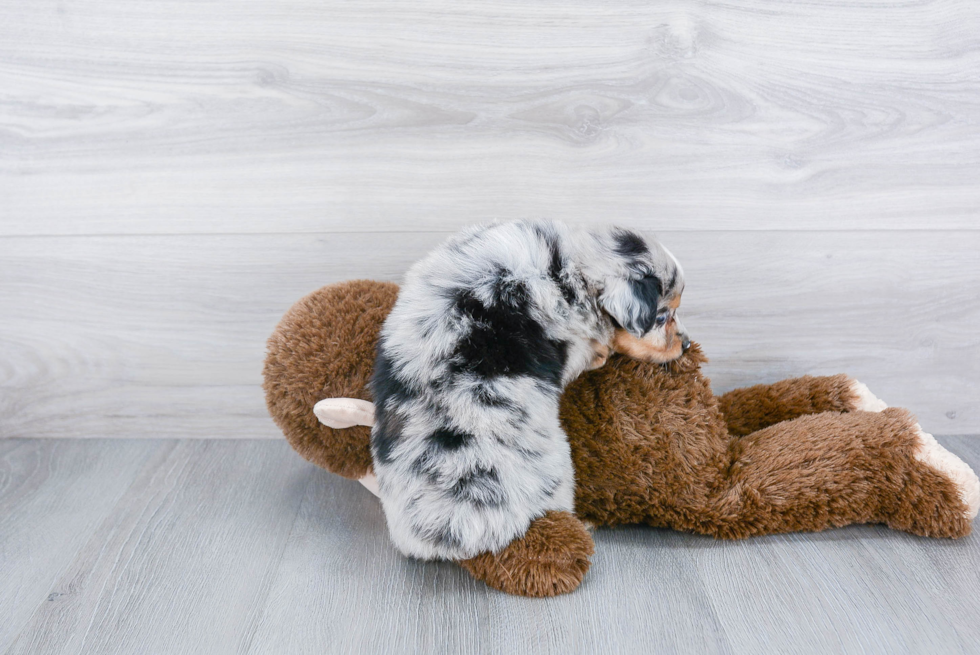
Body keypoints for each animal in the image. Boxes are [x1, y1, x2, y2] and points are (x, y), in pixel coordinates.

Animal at [370, 220, 688, 560]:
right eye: (661, 317)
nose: (687, 344)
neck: (570, 269)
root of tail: (450, 533)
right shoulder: (572, 340)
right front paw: (601, 351)